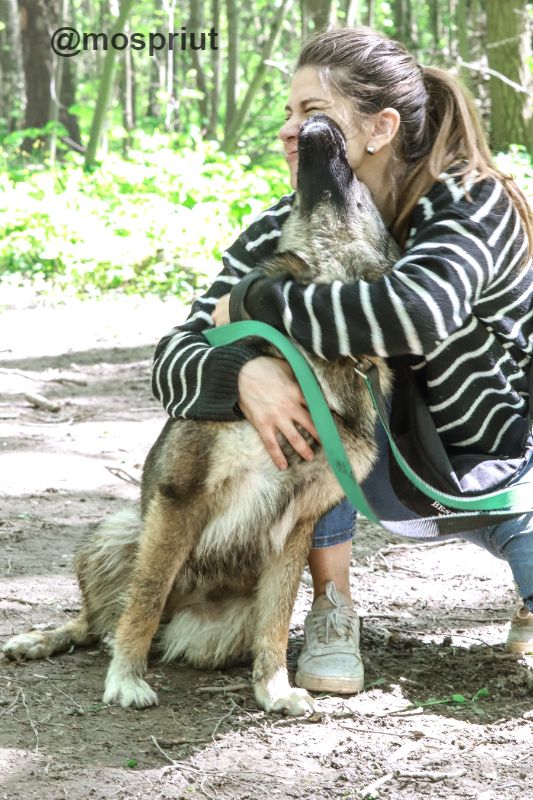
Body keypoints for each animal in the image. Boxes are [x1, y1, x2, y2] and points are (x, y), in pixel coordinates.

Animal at [3, 111, 400, 712]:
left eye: (356, 188)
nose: (316, 118)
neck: (310, 355)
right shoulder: (181, 496)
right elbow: (144, 599)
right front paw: (126, 678)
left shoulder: (297, 527)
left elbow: (277, 621)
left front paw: (273, 689)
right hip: (121, 531)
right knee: (101, 619)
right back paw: (44, 640)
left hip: (216, 625)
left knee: (124, 624)